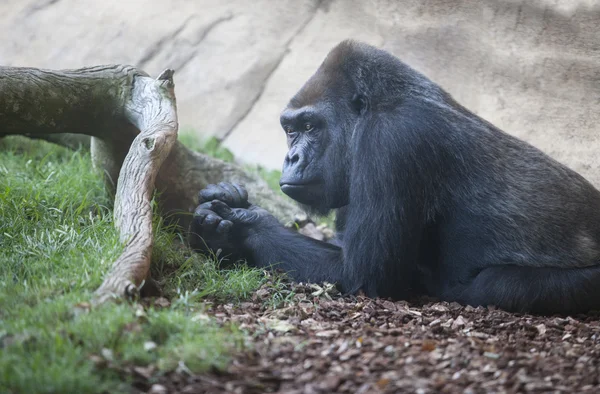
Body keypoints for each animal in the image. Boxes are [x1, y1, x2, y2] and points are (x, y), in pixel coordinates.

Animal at [189, 40, 600, 316]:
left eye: (309, 127)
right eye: (290, 131)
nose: (291, 157)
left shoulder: (393, 139)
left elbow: (362, 275)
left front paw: (245, 226)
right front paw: (223, 221)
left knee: (496, 285)